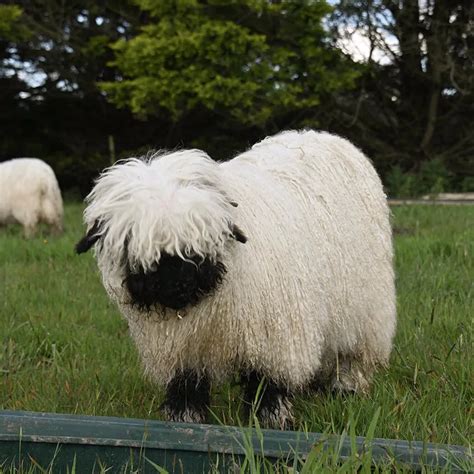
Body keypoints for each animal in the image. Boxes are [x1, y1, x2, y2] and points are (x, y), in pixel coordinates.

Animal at [77, 131, 396, 430]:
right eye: (132, 247)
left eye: (199, 246)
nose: (178, 286)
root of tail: (323, 135)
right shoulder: (182, 348)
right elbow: (186, 385)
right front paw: (185, 419)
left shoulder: (274, 337)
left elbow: (268, 383)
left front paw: (271, 420)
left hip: (366, 304)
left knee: (354, 351)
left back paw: (346, 387)